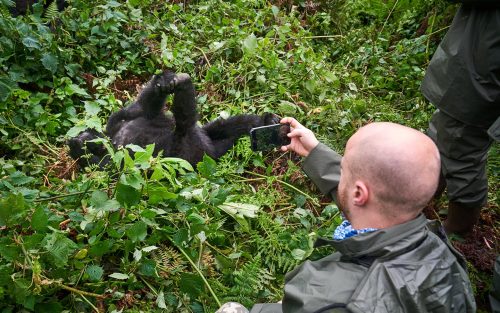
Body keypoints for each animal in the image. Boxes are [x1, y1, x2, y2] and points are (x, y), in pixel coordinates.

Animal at [67, 71, 278, 168]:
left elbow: (144, 109)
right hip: (194, 152)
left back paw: (264, 123)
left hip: (206, 139)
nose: (76, 139)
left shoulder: (116, 119)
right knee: (184, 126)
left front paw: (162, 81)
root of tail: (213, 155)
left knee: (222, 127)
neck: (109, 138)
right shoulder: (107, 160)